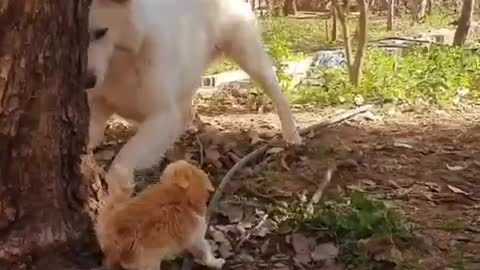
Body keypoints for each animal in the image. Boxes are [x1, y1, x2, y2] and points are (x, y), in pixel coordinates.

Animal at [86, 0, 302, 185]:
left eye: (101, 32)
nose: (87, 82)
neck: (120, 65)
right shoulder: (96, 109)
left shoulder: (163, 116)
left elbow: (124, 158)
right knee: (186, 113)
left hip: (249, 57)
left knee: (278, 94)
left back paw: (292, 135)